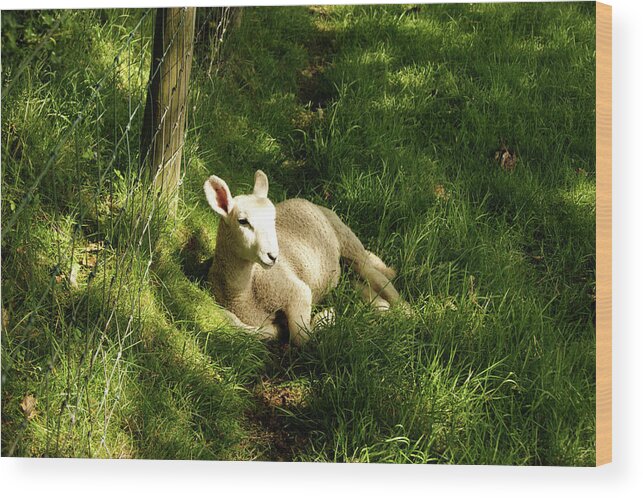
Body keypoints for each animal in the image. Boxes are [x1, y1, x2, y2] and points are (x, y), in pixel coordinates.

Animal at [206, 169, 408, 344]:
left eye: (273, 219)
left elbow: (301, 337)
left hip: (347, 239)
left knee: (375, 275)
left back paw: (405, 311)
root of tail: (307, 201)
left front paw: (326, 316)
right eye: (242, 221)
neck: (245, 291)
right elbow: (248, 329)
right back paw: (378, 304)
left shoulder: (297, 291)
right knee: (352, 281)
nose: (273, 256)